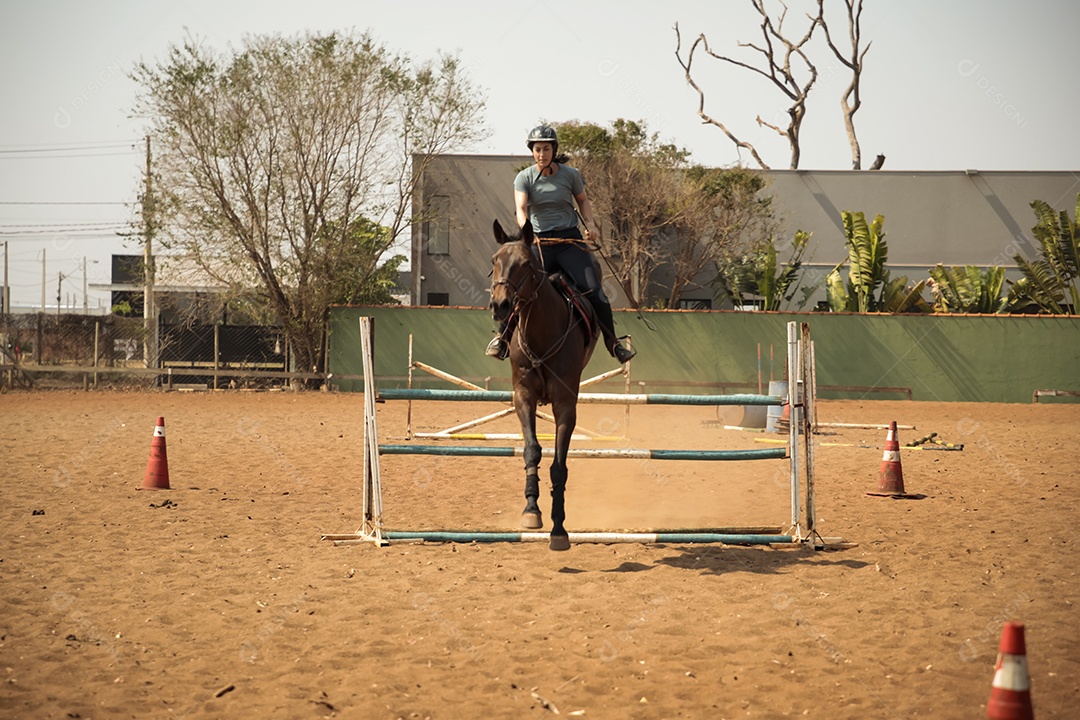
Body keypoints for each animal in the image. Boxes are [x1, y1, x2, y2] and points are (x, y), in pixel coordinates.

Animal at [489, 219, 599, 551]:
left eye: (526, 263)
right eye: (494, 261)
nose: (500, 305)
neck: (543, 334)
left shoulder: (566, 405)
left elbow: (559, 465)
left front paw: (559, 528)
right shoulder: (523, 396)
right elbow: (532, 451)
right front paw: (531, 510)